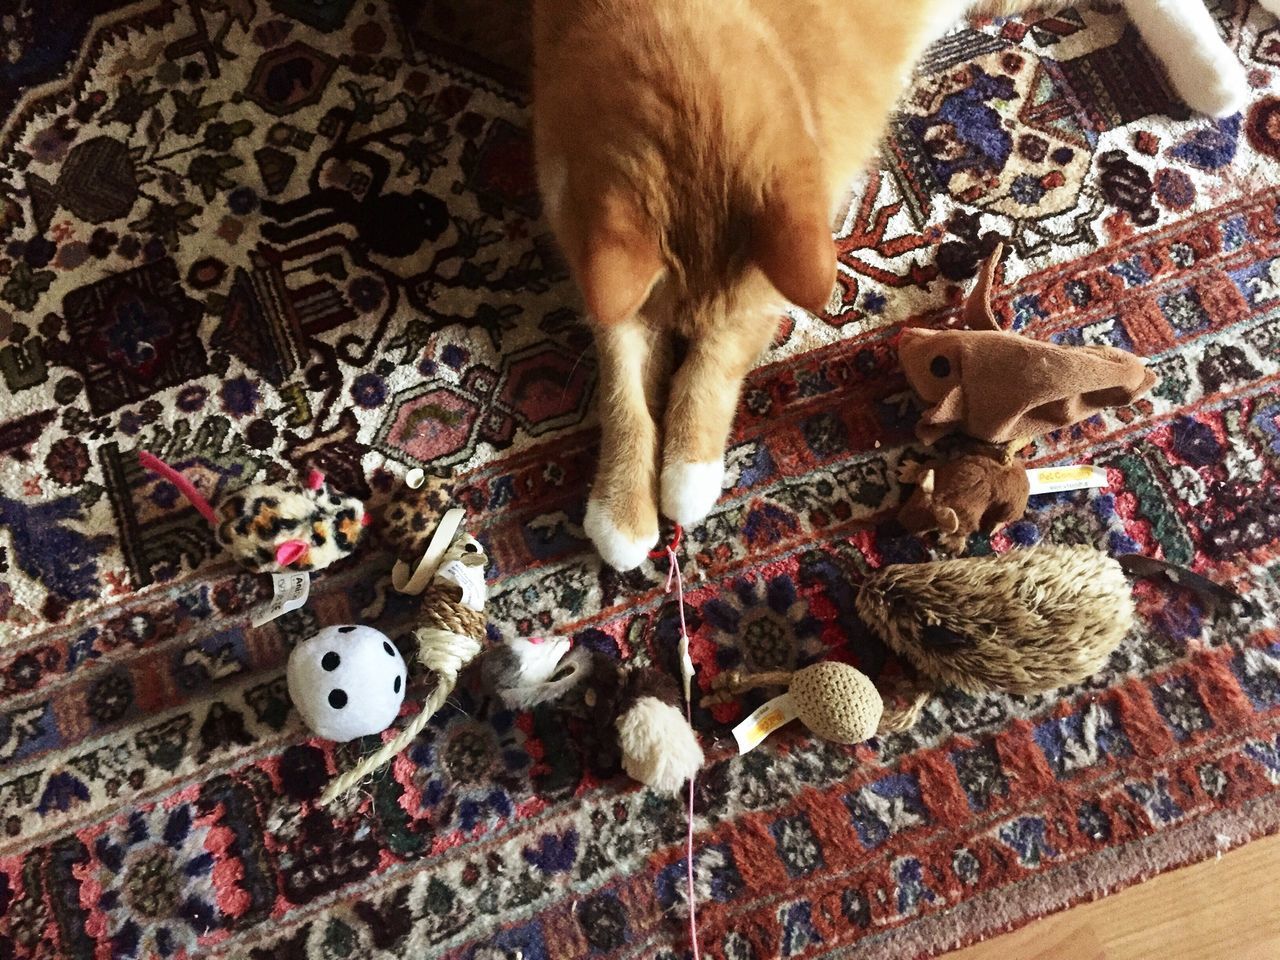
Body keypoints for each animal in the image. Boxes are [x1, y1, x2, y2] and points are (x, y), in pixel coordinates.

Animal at [529, 0, 1249, 570]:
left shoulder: (778, 273)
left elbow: (711, 364)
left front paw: (686, 473)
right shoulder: (595, 262)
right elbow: (623, 390)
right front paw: (622, 509)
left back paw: (1214, 75)